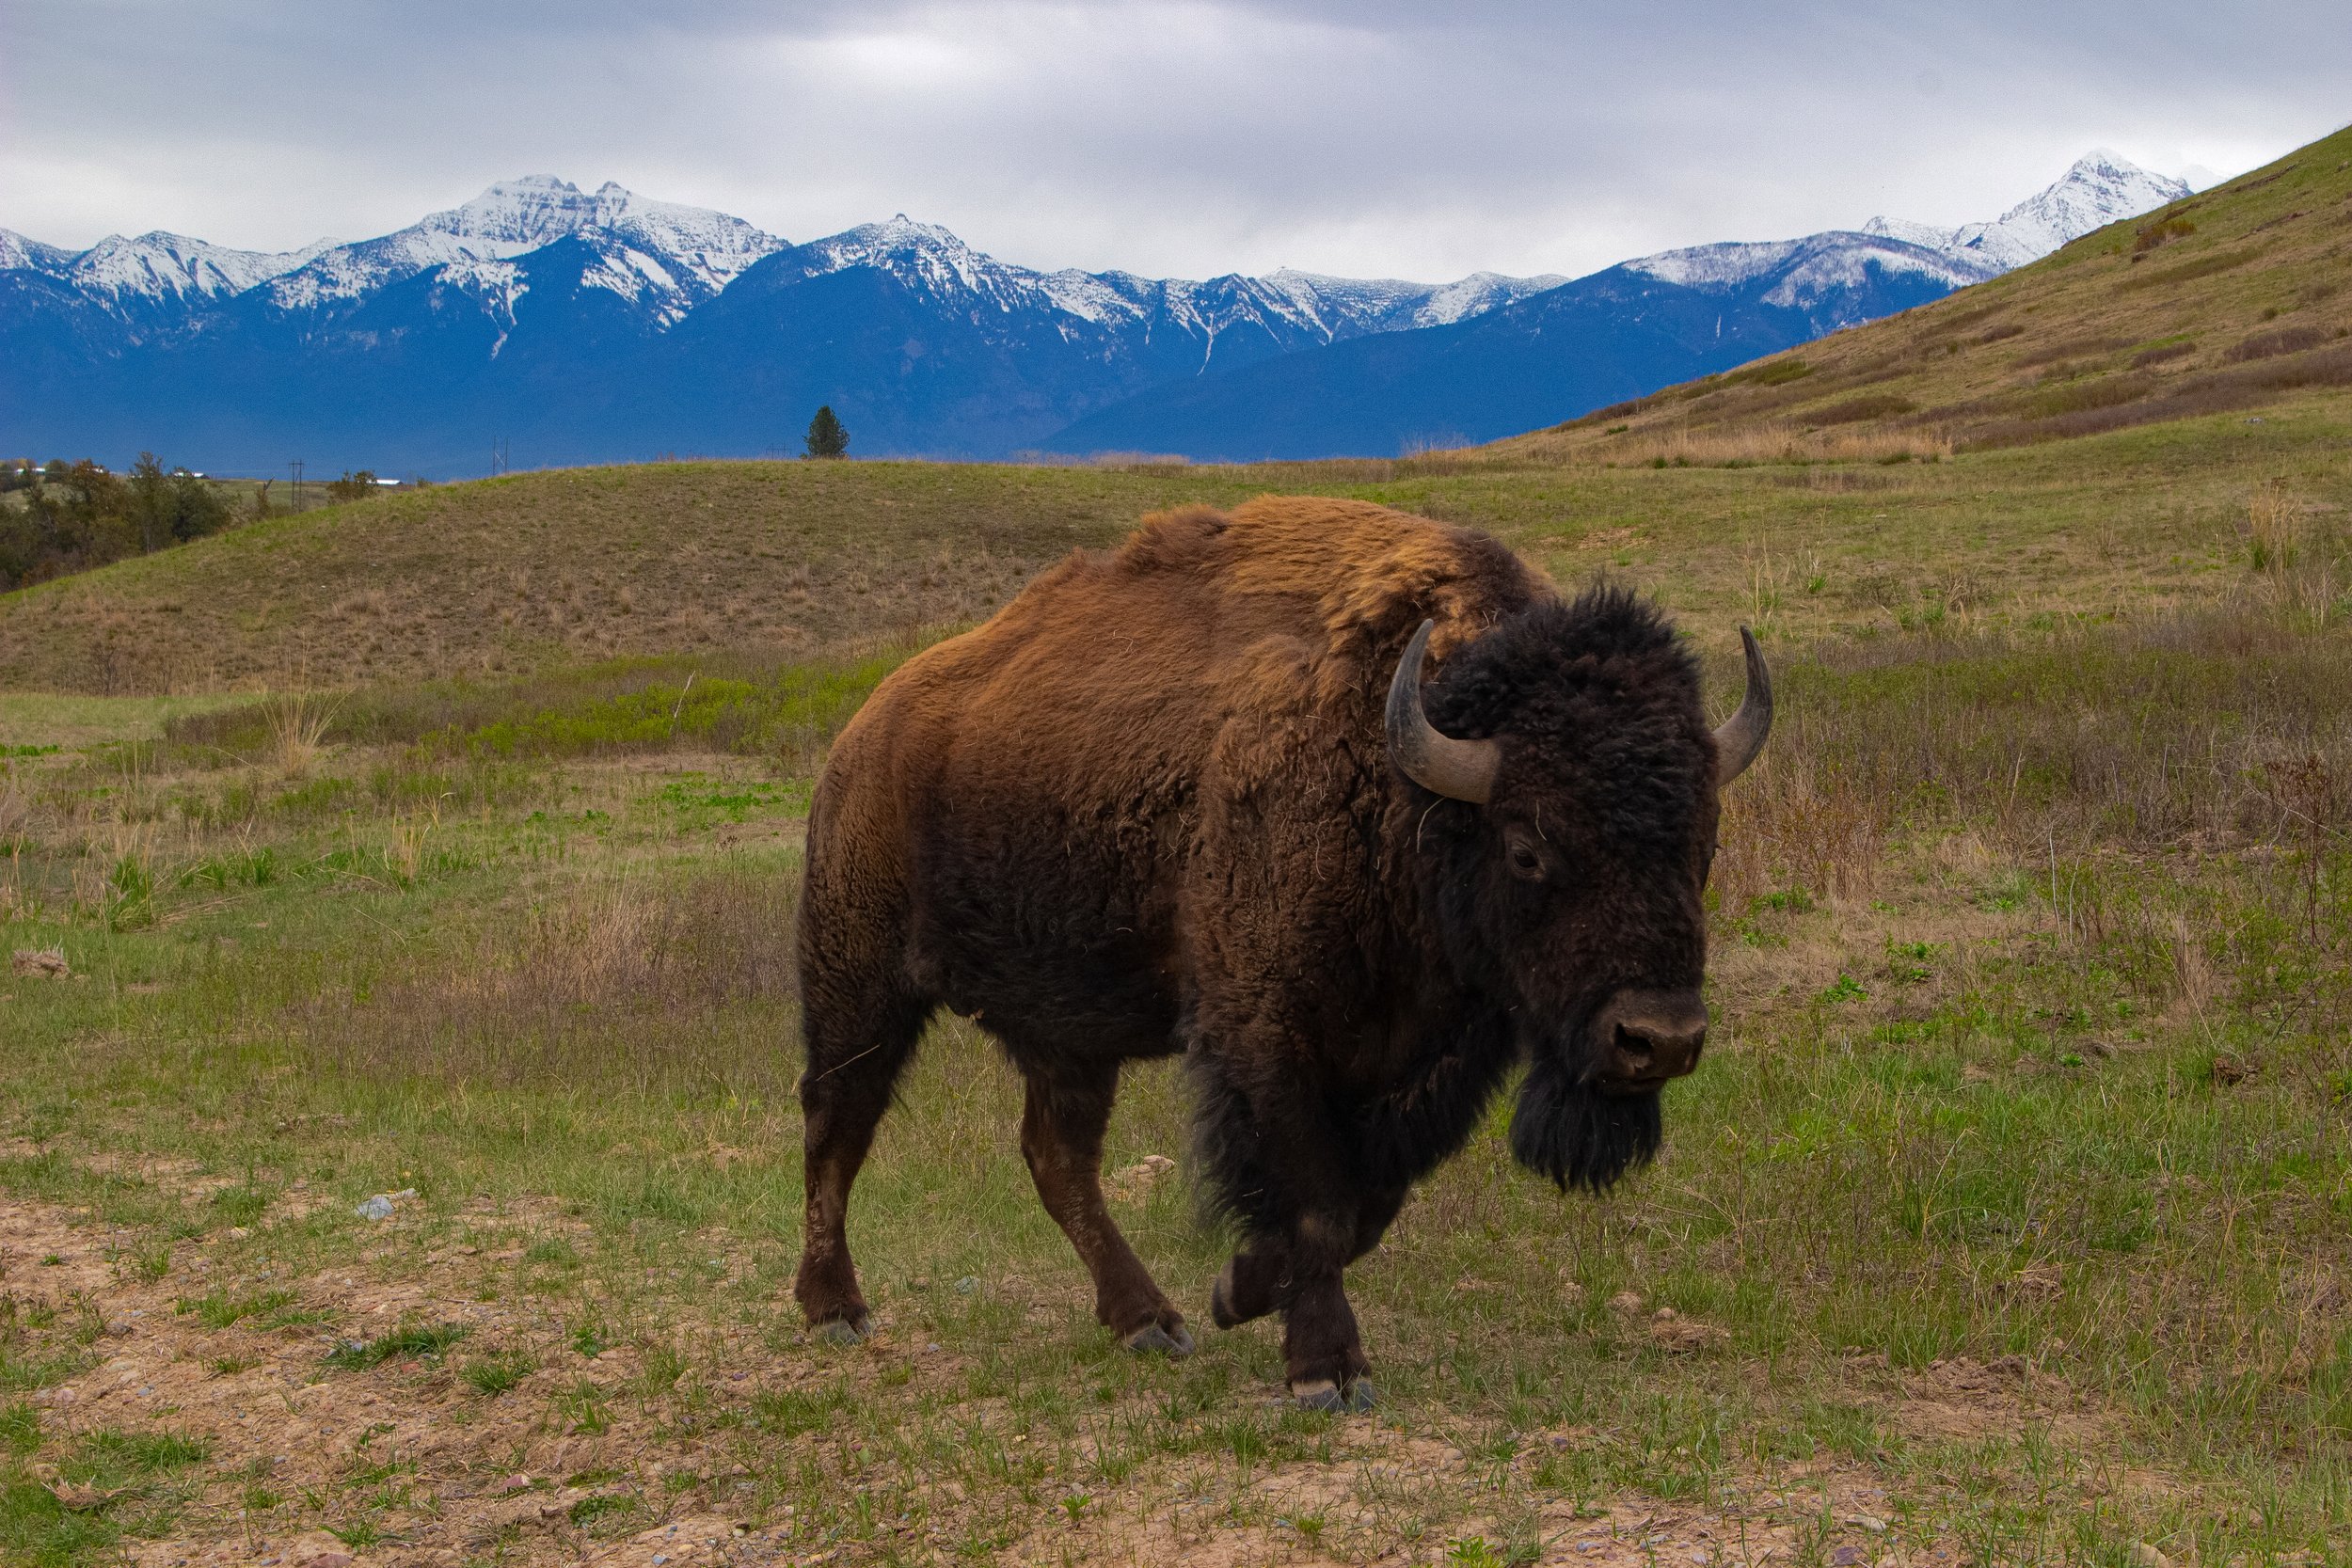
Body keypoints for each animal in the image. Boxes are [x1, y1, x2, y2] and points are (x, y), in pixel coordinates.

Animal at [794, 496, 1770, 1408]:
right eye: (1529, 845)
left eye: (1704, 842)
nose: (1659, 1038)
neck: (1402, 782)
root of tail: (859, 737)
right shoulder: (1269, 1034)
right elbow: (1318, 1200)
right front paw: (1325, 1369)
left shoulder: (1430, 1059)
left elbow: (1369, 1202)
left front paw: (1237, 1290)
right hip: (861, 984)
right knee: (837, 1125)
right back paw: (835, 1308)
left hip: (1068, 1032)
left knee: (1056, 1157)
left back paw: (1149, 1321)